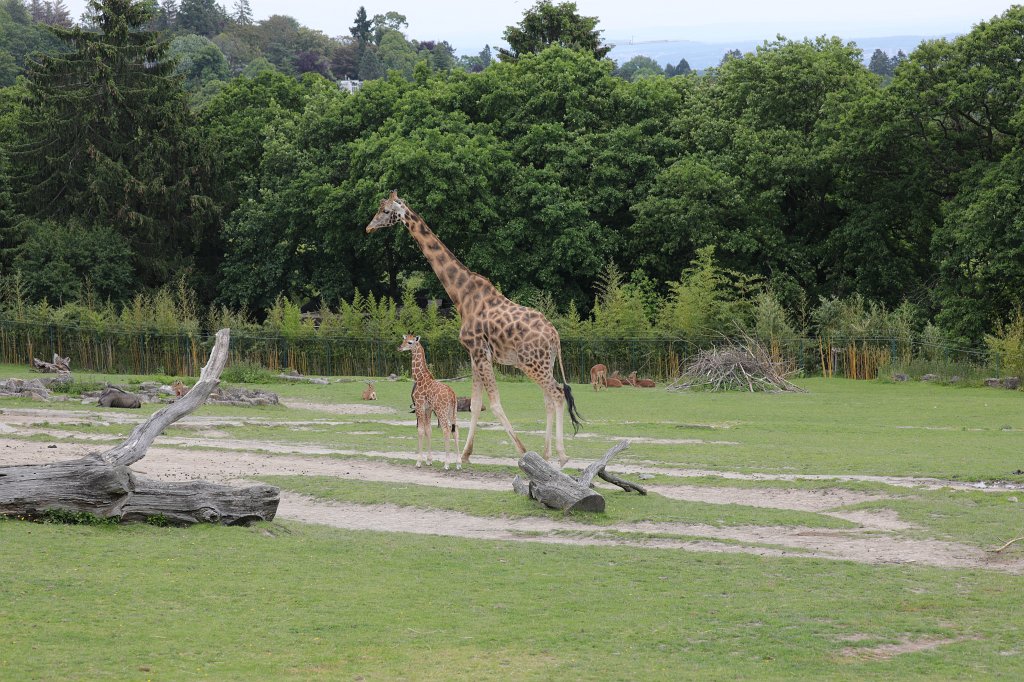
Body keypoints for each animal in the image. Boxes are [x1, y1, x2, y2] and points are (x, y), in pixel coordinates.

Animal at [398, 334, 460, 470]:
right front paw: (429, 460)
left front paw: (419, 461)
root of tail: (452, 394)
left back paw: (447, 463)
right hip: (452, 411)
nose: (399, 347)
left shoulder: (420, 405)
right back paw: (458, 463)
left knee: (446, 430)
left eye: (410, 342)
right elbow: (428, 430)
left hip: (441, 411)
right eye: (403, 340)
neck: (419, 377)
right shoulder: (428, 408)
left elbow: (421, 430)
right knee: (455, 430)